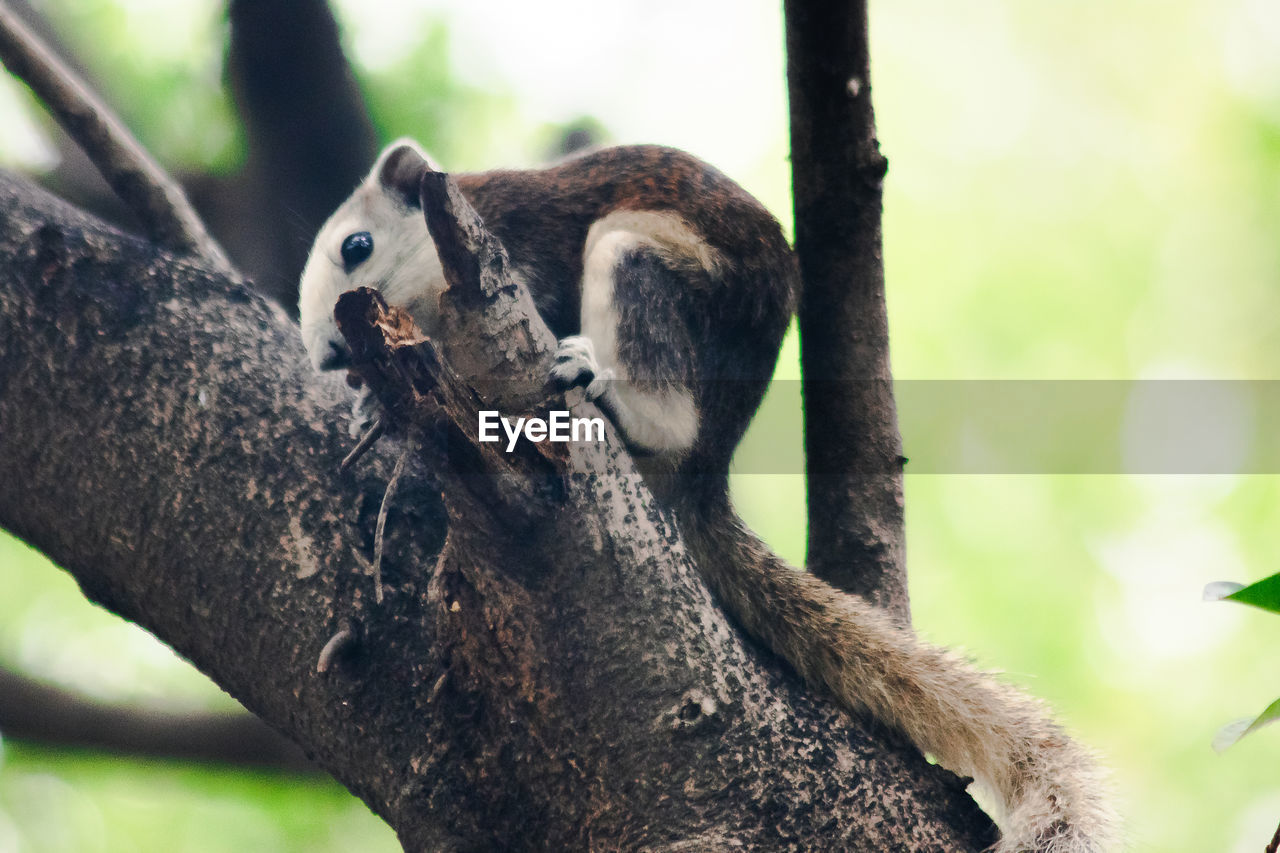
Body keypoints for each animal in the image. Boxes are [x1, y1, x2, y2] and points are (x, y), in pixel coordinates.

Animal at [304, 136, 1116, 845]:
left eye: (356, 247)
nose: (328, 354)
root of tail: (710, 467)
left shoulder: (518, 255)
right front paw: (375, 412)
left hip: (648, 265)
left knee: (665, 405)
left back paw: (612, 391)